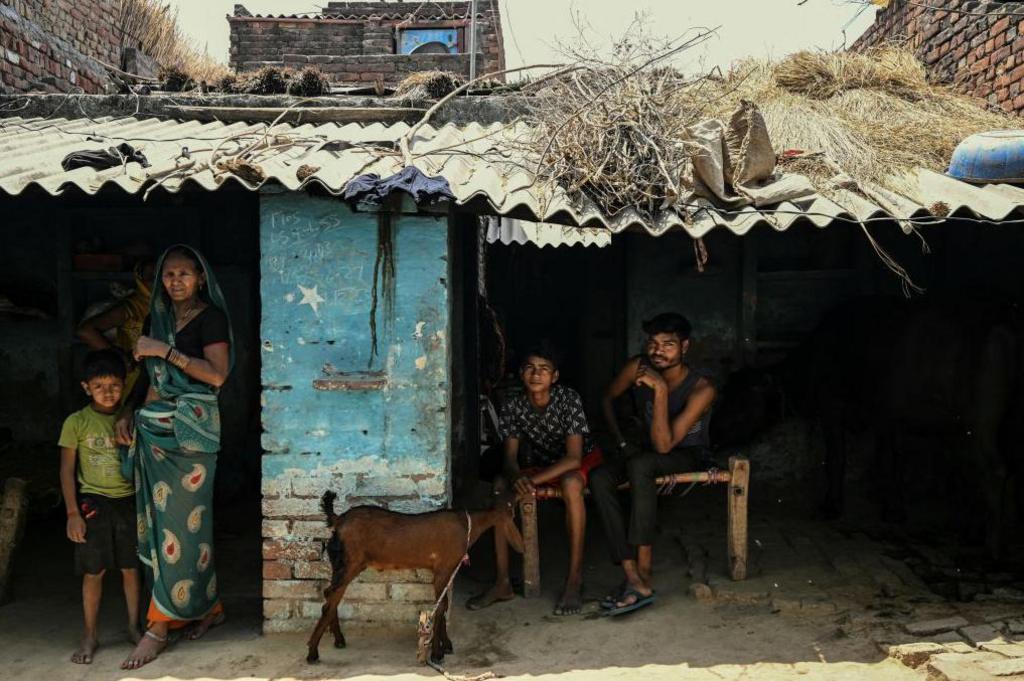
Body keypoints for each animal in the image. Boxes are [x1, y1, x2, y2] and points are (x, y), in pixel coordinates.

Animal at [307, 491, 524, 659]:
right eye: (512, 511)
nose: (520, 544)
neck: (468, 524)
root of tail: (338, 520)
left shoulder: (448, 570)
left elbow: (444, 605)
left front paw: (446, 645)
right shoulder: (443, 569)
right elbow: (441, 607)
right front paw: (437, 653)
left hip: (340, 564)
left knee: (331, 595)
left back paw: (338, 640)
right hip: (350, 563)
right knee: (331, 597)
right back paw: (312, 652)